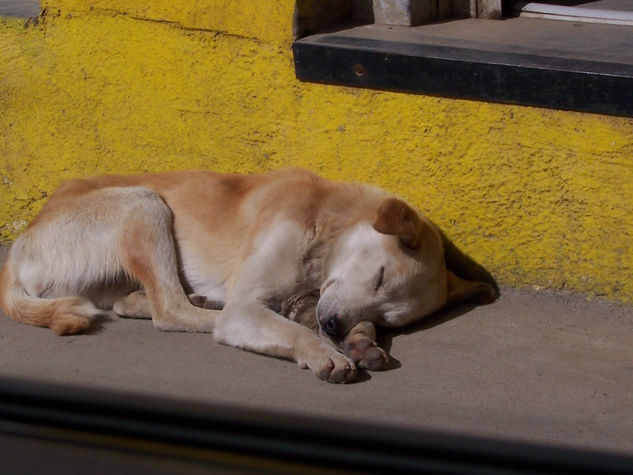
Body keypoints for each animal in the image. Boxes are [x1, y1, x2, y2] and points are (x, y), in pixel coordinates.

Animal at [0, 167, 494, 384]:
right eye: (378, 275)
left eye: (389, 316)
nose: (336, 326)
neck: (323, 222)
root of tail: (21, 245)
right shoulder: (251, 305)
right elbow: (289, 328)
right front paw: (324, 350)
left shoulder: (318, 299)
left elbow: (320, 319)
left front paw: (361, 341)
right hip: (144, 202)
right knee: (170, 311)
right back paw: (204, 307)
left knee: (135, 301)